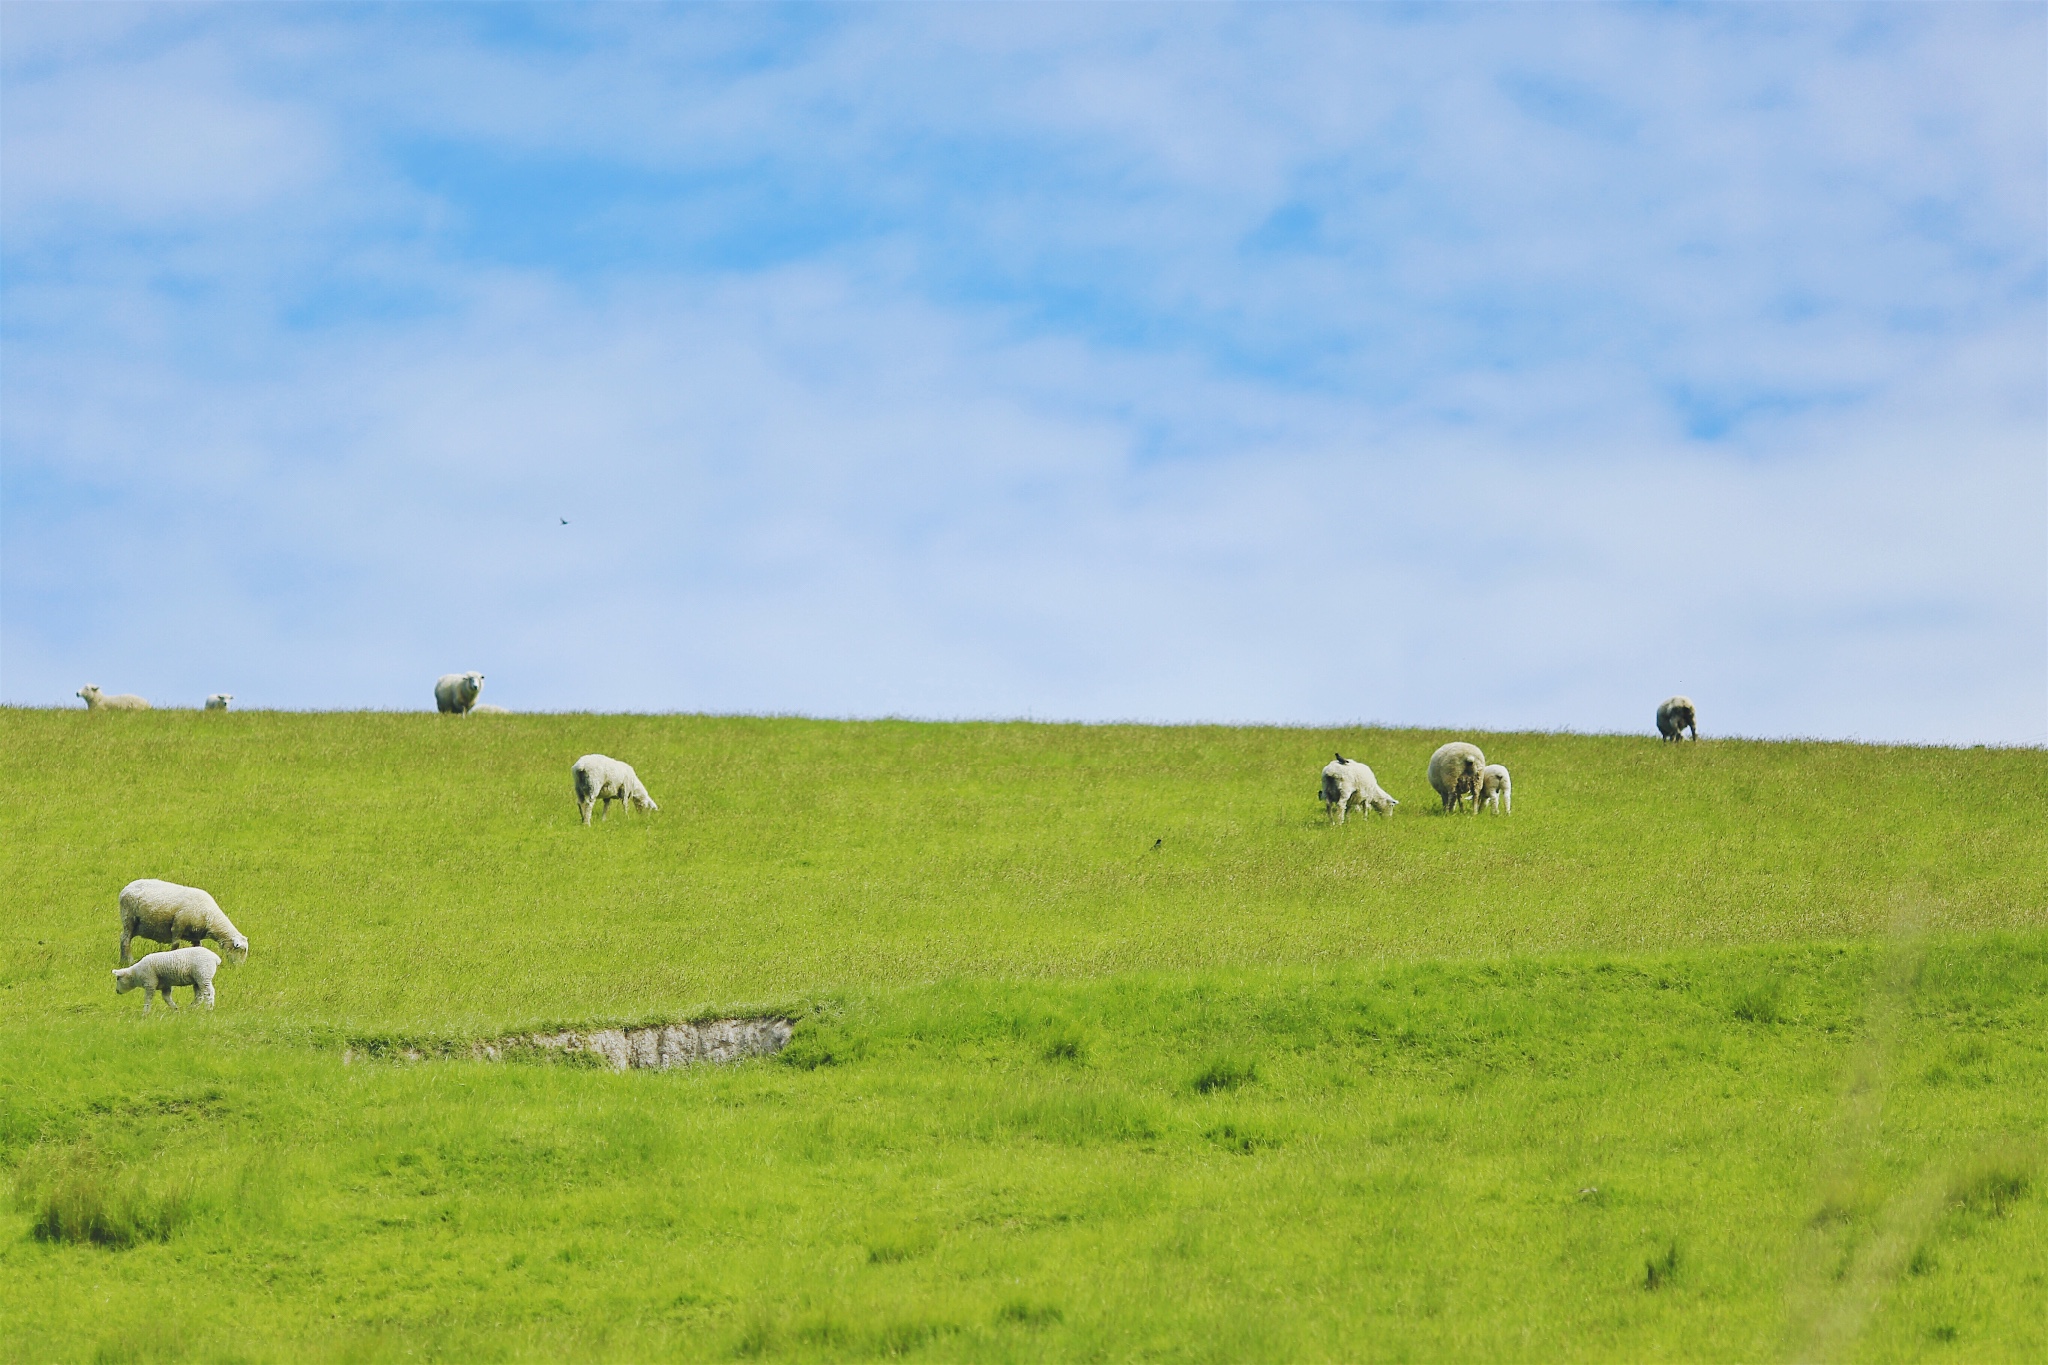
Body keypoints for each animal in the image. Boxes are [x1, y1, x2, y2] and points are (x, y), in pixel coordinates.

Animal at [119, 879, 249, 965]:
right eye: (240, 950)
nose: (239, 967)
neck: (211, 916)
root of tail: (126, 888)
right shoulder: (178, 926)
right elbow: (175, 946)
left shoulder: (196, 935)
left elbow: (198, 948)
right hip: (129, 918)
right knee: (125, 940)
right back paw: (129, 961)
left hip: (138, 925)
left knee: (124, 939)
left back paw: (123, 960)